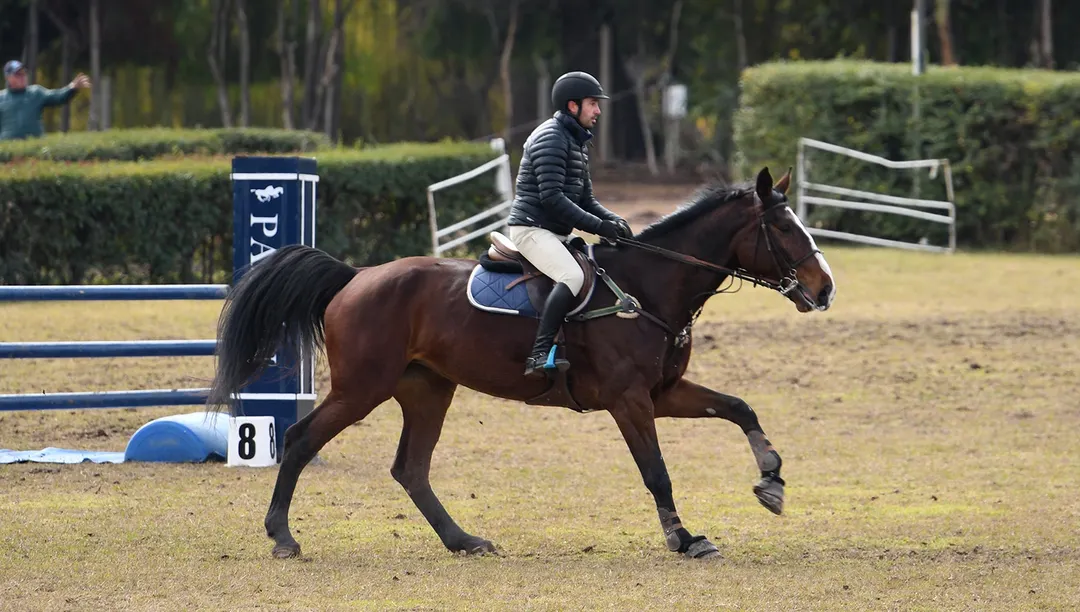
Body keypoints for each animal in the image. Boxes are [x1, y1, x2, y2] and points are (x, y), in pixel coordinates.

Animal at [207, 166, 836, 560]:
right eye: (784, 228)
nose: (825, 288)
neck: (650, 289)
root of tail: (354, 276)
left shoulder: (663, 393)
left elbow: (739, 406)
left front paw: (771, 480)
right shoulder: (630, 401)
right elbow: (656, 472)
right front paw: (685, 539)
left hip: (427, 389)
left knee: (411, 468)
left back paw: (463, 541)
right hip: (362, 388)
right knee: (300, 440)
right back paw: (282, 536)